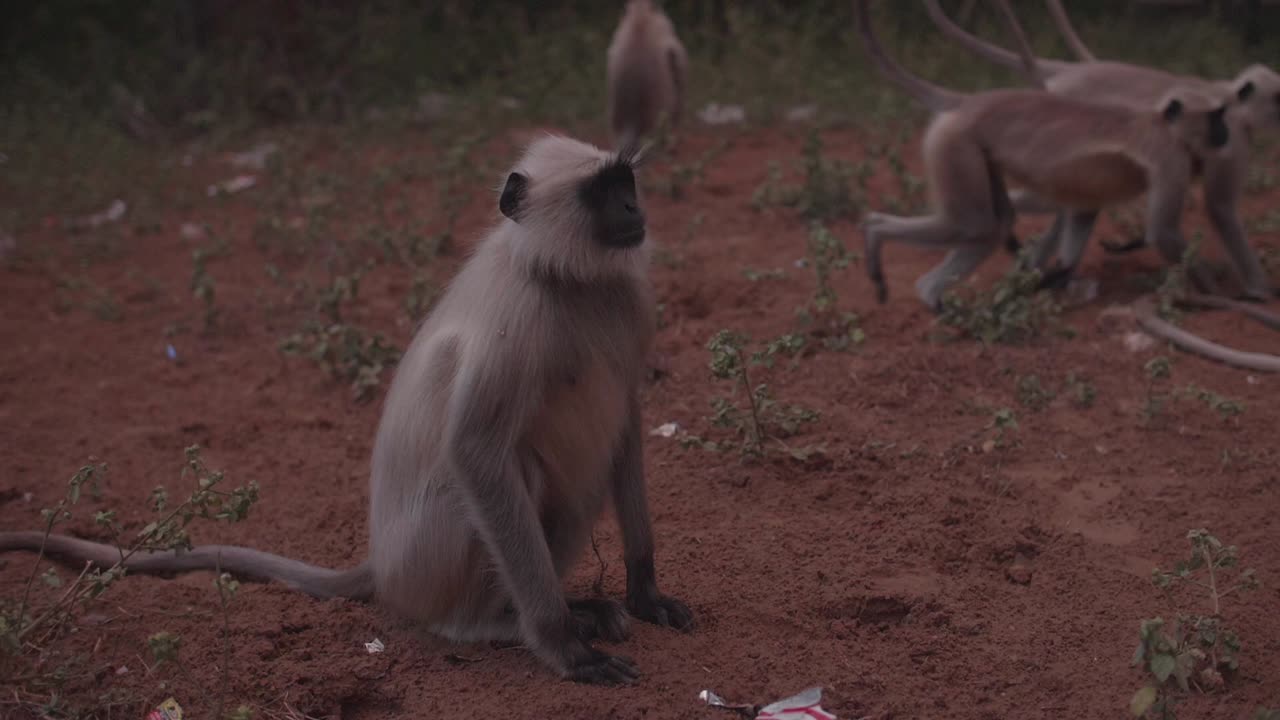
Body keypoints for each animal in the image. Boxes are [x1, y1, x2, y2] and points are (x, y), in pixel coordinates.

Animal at [0, 134, 693, 685]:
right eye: (602, 193)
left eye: (625, 183)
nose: (634, 209)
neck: (572, 280)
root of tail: (382, 566)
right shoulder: (517, 317)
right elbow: (474, 450)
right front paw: (562, 647)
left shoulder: (630, 299)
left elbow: (627, 421)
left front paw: (644, 591)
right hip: (423, 562)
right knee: (511, 476)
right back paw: (506, 624)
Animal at [854, 0, 1232, 314]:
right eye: (1215, 117)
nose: (1225, 132)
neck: (1161, 122)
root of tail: (968, 103)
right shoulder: (1171, 156)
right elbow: (1164, 232)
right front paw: (1216, 294)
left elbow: (1084, 213)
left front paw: (1054, 276)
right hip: (955, 146)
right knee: (975, 224)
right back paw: (876, 231)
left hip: (971, 153)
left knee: (994, 225)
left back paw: (933, 295)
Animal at [924, 0, 1279, 300]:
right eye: (1278, 98)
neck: (1228, 97)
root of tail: (1069, 73)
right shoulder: (1232, 135)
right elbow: (1220, 208)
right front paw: (1257, 291)